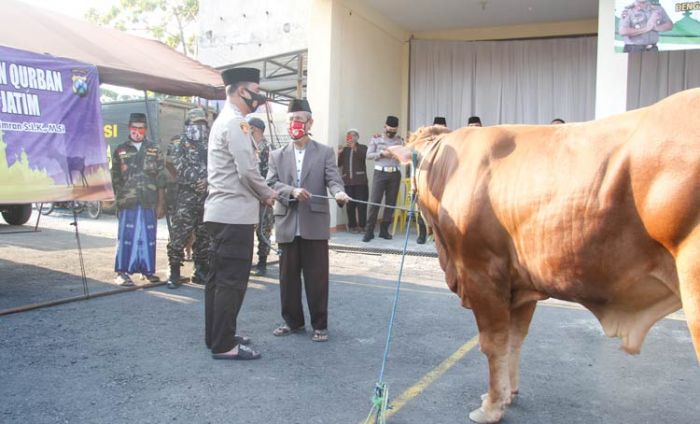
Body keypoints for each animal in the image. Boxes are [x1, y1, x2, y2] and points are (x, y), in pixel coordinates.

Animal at [392, 88, 696, 422]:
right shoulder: (521, 285)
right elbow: (515, 339)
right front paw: (507, 394)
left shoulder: (482, 274)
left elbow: (493, 343)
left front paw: (491, 407)